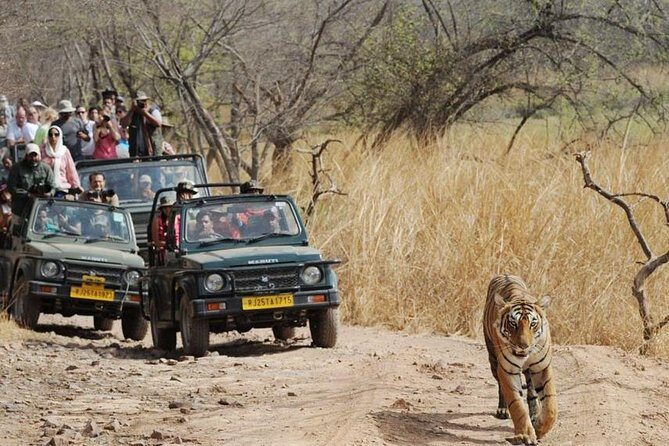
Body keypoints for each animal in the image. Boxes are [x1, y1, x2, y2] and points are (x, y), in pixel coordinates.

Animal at [483, 274, 557, 445]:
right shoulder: (507, 370)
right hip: (493, 360)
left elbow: (550, 406)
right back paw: (503, 410)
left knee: (531, 391)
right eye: (513, 324)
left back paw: (535, 415)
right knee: (501, 387)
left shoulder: (542, 367)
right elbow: (517, 405)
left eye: (533, 324)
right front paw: (526, 435)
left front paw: (540, 429)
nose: (524, 346)